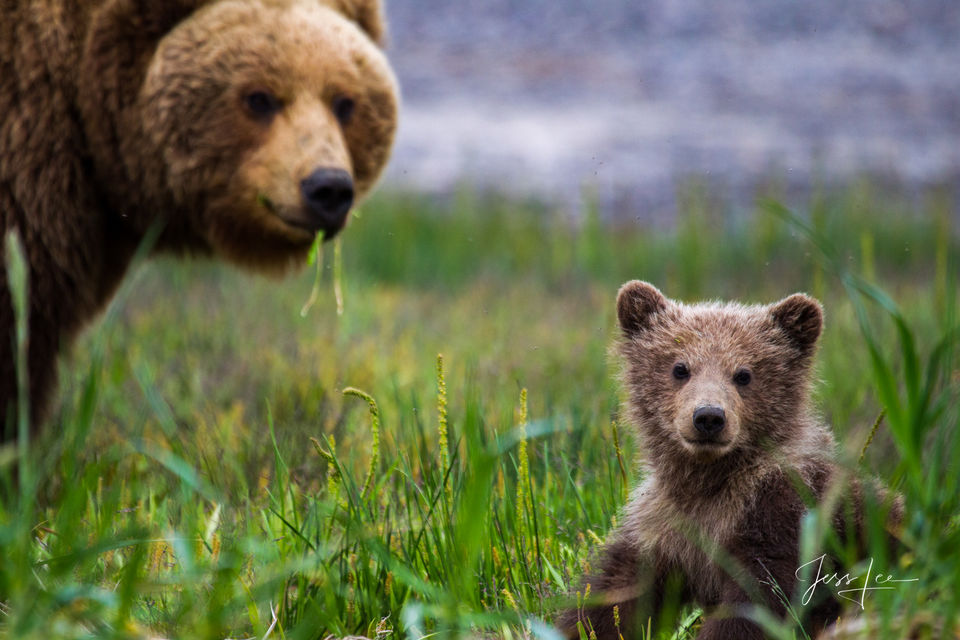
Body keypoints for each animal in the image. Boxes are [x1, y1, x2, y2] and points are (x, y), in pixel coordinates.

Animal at [557, 281, 901, 640]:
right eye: (680, 368)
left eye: (744, 374)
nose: (708, 416)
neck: (709, 480)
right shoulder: (662, 528)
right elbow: (613, 596)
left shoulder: (780, 516)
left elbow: (756, 603)